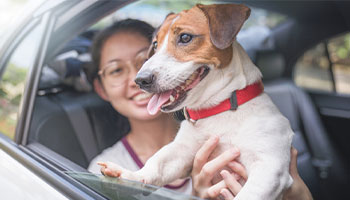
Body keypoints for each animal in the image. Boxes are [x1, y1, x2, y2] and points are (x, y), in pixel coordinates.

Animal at [98, 3, 292, 200]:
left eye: (185, 37)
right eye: (155, 44)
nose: (140, 80)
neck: (220, 109)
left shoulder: (269, 168)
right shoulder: (183, 152)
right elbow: (158, 161)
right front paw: (131, 175)